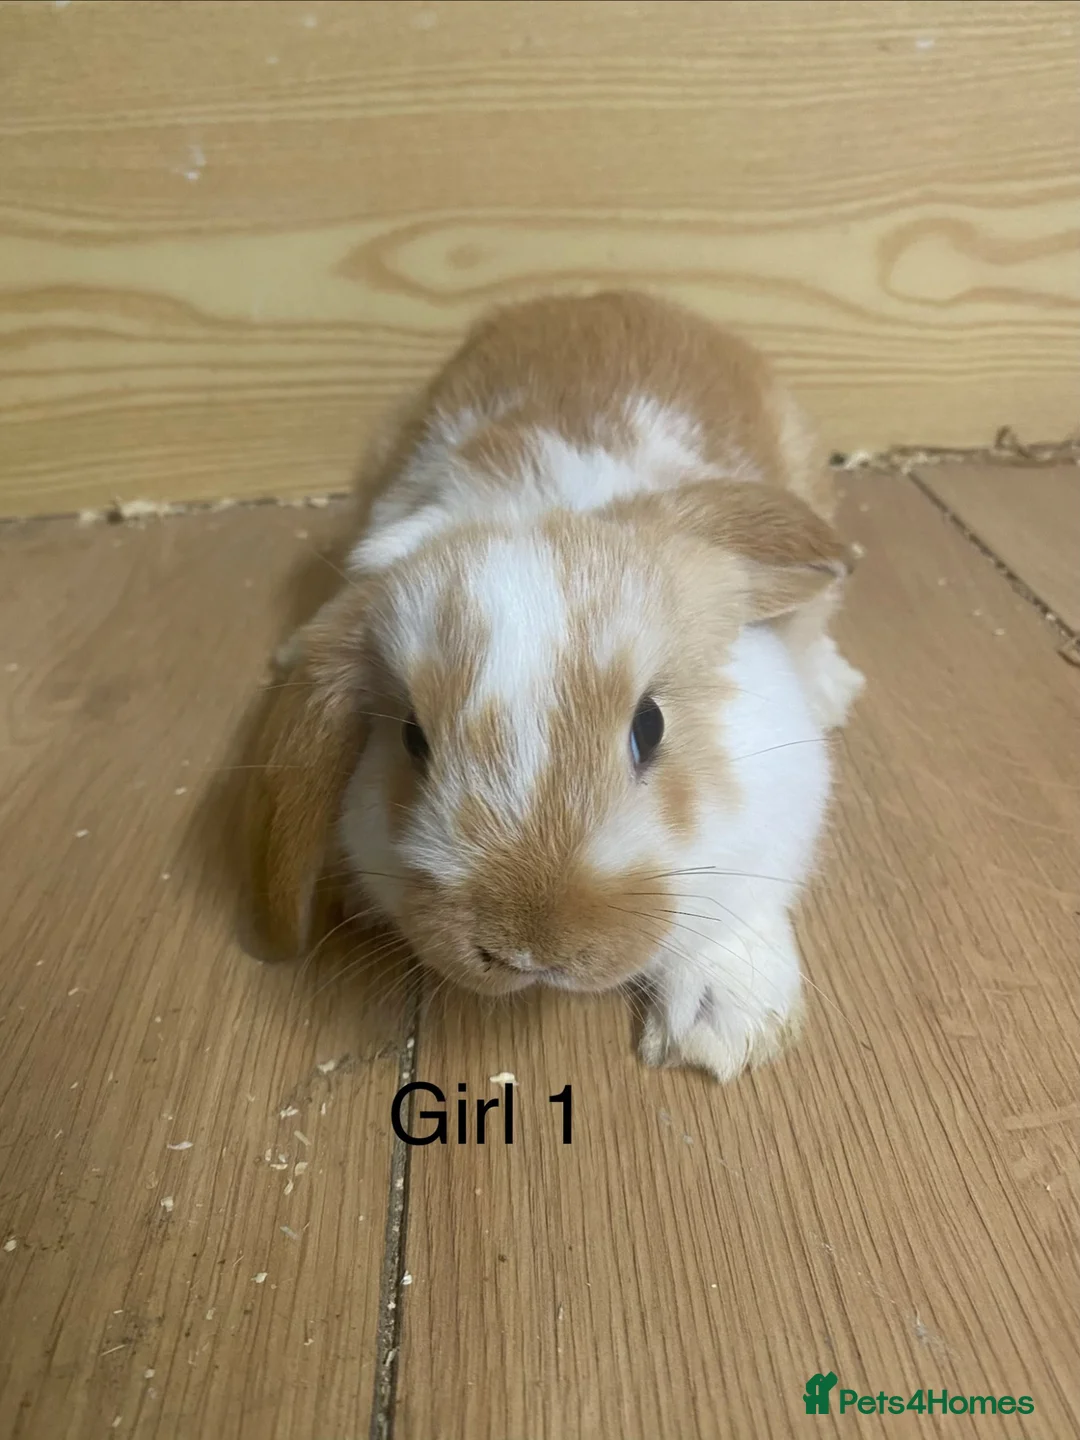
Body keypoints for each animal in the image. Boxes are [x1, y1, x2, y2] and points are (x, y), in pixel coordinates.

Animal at [247, 290, 864, 1082]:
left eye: (650, 726)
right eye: (412, 740)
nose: (532, 949)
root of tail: (608, 294)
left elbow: (737, 906)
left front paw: (723, 1032)